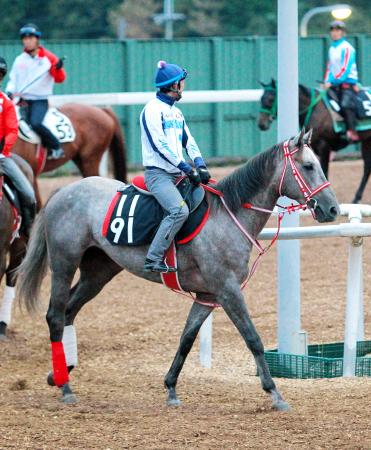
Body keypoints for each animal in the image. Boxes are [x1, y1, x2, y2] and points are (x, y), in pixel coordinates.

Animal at [17, 128, 340, 410]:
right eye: (309, 166)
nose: (332, 209)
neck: (228, 215)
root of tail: (64, 191)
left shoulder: (207, 296)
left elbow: (186, 338)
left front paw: (171, 388)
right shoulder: (228, 291)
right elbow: (253, 339)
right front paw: (274, 393)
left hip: (98, 272)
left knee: (70, 312)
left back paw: (60, 373)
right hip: (64, 262)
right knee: (56, 315)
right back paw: (65, 386)